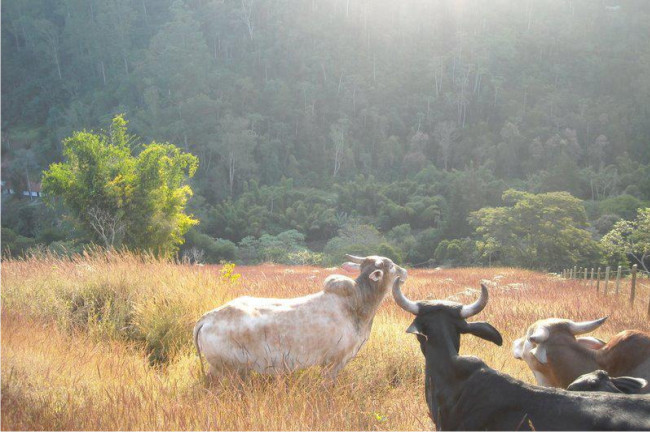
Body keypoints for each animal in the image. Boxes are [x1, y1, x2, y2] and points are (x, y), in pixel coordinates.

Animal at [193, 254, 407, 381]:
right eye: (390, 266)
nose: (404, 272)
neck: (356, 303)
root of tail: (207, 318)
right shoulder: (334, 363)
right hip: (226, 370)